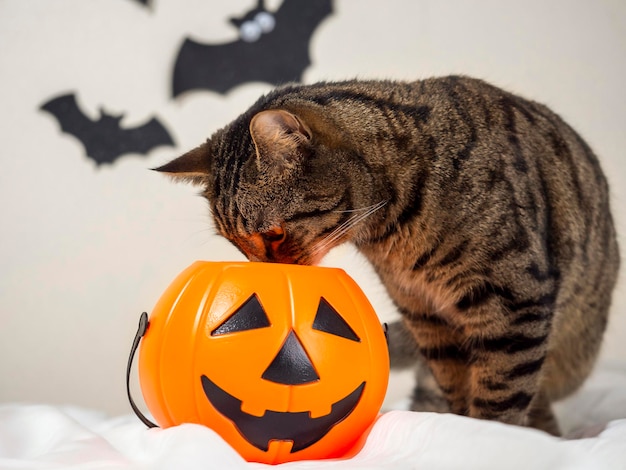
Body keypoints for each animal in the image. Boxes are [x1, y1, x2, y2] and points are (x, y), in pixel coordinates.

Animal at [155, 76, 616, 434]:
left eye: (274, 235)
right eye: (238, 246)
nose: (266, 273)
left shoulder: (513, 302)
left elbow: (499, 397)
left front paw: (488, 439)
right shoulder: (425, 313)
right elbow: (457, 385)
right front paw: (458, 429)